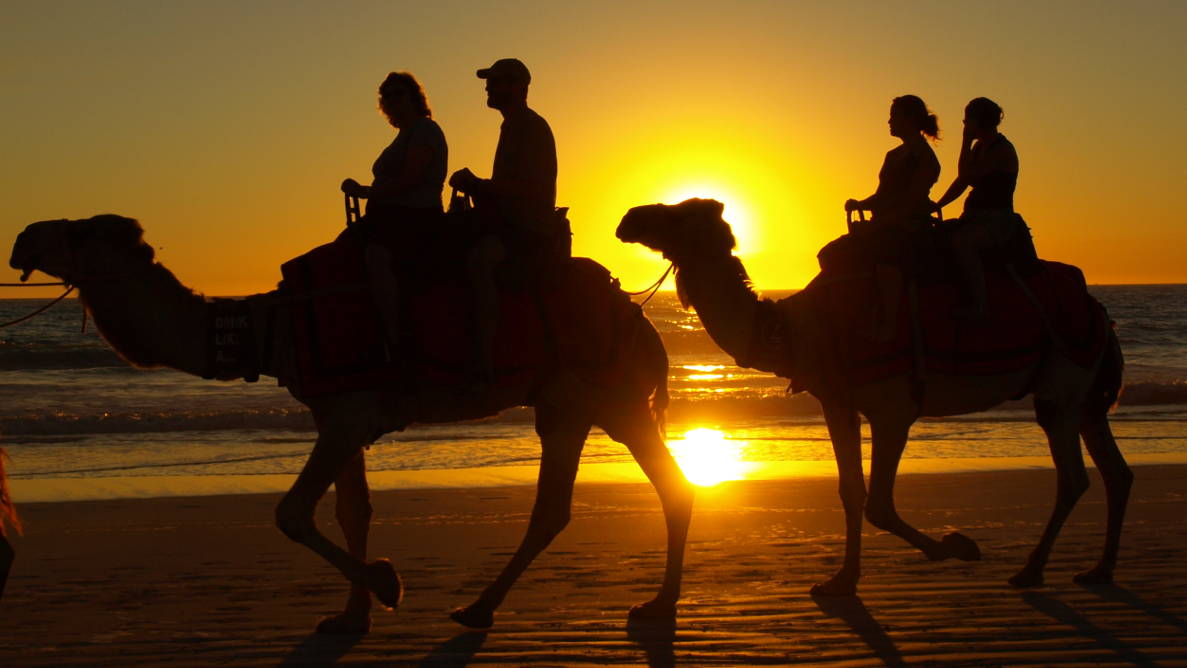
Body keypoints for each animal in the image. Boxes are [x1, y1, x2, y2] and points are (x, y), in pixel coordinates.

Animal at [11, 214, 693, 631]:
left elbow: (291, 512)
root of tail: (642, 321)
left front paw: (387, 585)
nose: (22, 237)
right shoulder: (339, 417)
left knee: (609, 497)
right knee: (629, 494)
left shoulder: (348, 416)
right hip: (595, 403)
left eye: (76, 232)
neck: (274, 329)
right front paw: (351, 615)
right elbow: (351, 509)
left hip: (591, 396)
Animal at [621, 198, 1130, 595]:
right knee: (1114, 471)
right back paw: (1099, 569)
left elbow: (880, 503)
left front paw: (957, 546)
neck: (796, 329)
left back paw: (1032, 569)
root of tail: (1098, 310)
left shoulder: (893, 410)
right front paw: (841, 580)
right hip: (1083, 397)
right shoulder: (837, 402)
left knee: (1073, 476)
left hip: (1060, 385)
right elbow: (852, 491)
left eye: (680, 213)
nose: (629, 218)